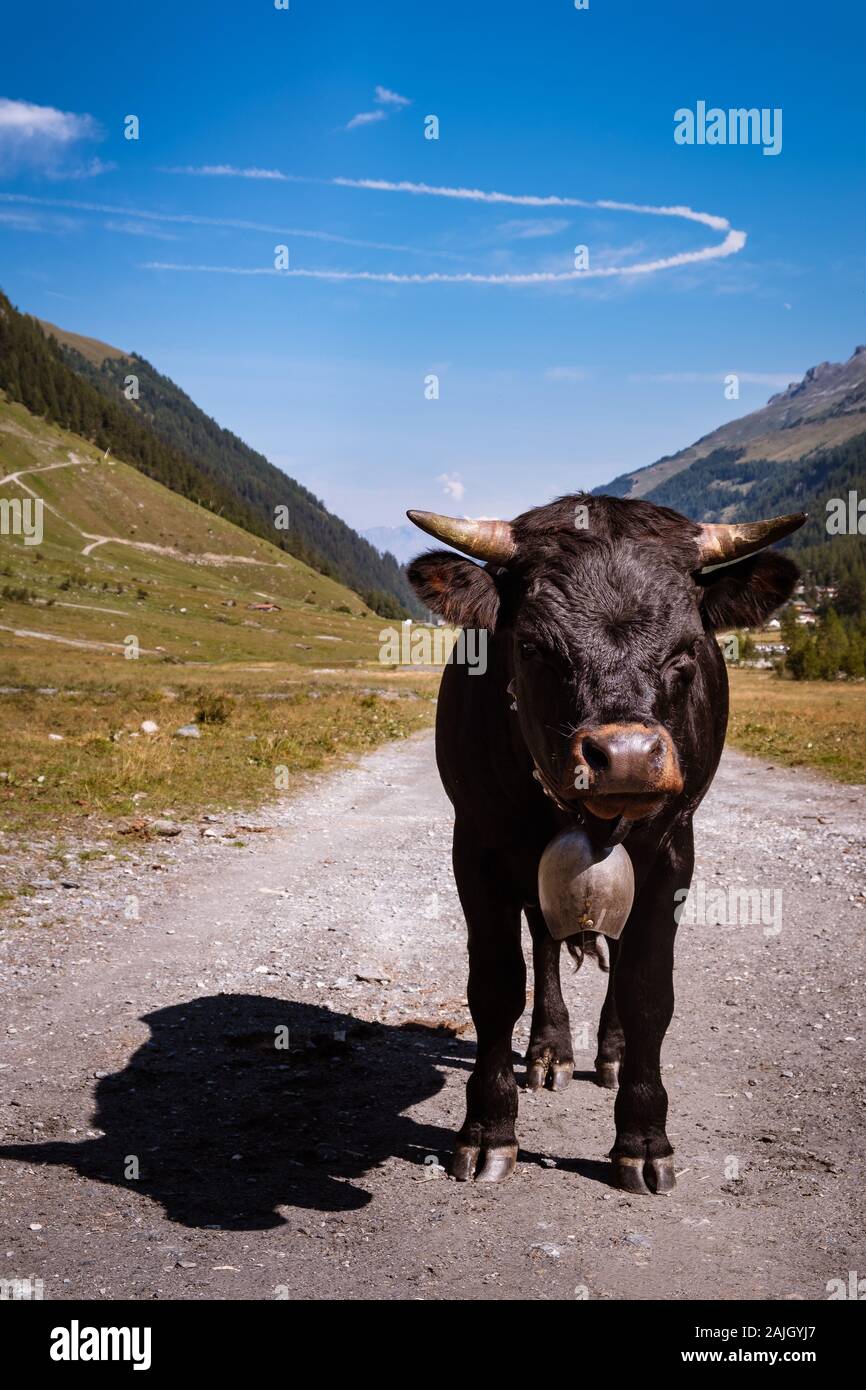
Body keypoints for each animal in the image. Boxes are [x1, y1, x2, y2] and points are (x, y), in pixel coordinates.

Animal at [405, 497, 806, 1195]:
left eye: (687, 649)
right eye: (532, 646)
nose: (626, 757)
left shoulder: (672, 854)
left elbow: (648, 990)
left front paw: (643, 1140)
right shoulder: (475, 845)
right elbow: (495, 985)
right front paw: (488, 1130)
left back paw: (612, 1054)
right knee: (543, 945)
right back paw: (550, 1053)